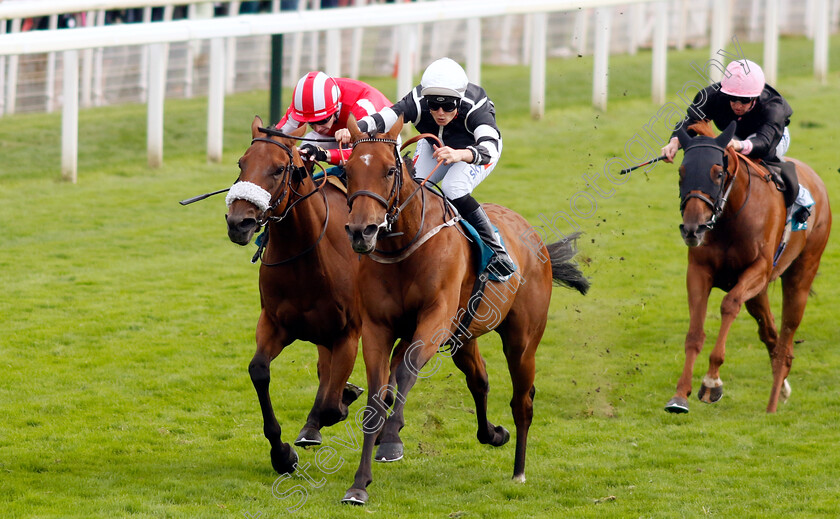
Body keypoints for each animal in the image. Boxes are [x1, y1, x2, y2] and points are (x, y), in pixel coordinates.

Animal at [226, 117, 364, 476]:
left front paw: (344, 399)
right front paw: (282, 454)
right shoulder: (274, 323)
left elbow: (332, 406)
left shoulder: (348, 332)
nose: (239, 223)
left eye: (278, 169)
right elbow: (259, 371)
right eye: (241, 163)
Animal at [338, 117, 588, 504]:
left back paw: (518, 471)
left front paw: (391, 441)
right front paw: (359, 484)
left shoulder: (435, 319)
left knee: (522, 400)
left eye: (390, 170)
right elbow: (378, 397)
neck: (404, 245)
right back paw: (493, 434)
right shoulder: (378, 327)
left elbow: (407, 372)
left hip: (521, 340)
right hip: (464, 335)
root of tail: (533, 237)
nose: (361, 231)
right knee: (479, 381)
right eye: (349, 171)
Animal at [668, 119, 832, 414]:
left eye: (718, 173)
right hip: (759, 294)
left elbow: (729, 305)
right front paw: (680, 395)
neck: (731, 216)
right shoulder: (698, 271)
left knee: (786, 336)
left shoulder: (759, 270)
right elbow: (694, 333)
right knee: (770, 333)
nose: (692, 229)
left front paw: (711, 382)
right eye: (681, 172)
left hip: (801, 274)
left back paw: (772, 405)